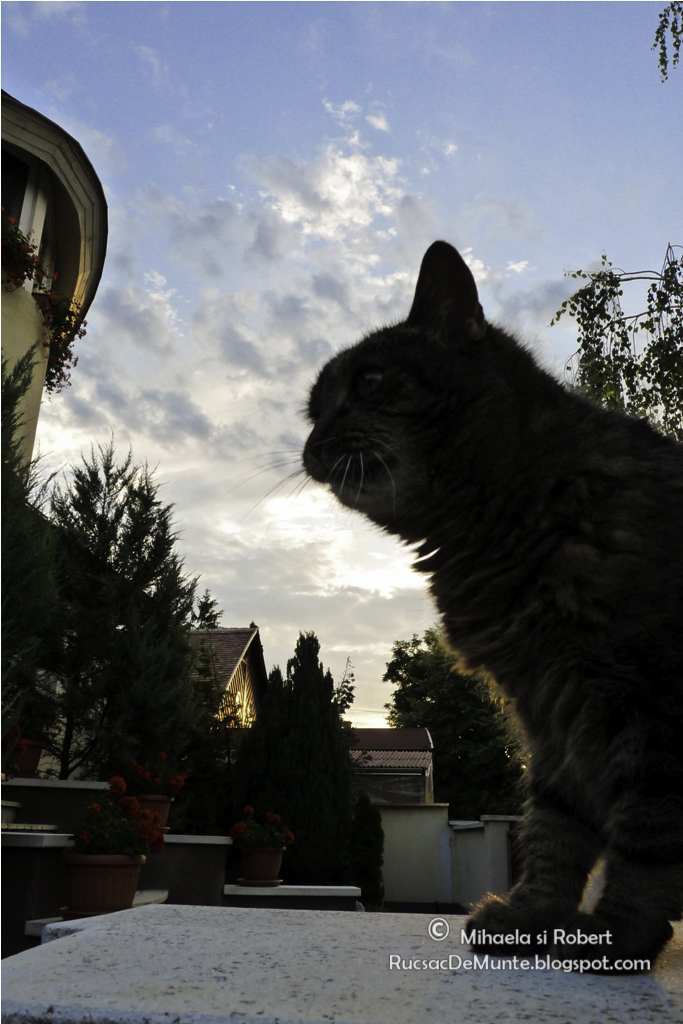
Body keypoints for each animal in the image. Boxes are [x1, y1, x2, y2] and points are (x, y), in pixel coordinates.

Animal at [303, 240, 683, 973]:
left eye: (369, 382)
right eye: (312, 410)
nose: (308, 446)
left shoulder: (649, 704)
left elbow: (645, 834)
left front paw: (619, 933)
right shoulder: (550, 712)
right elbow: (554, 827)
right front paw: (534, 915)